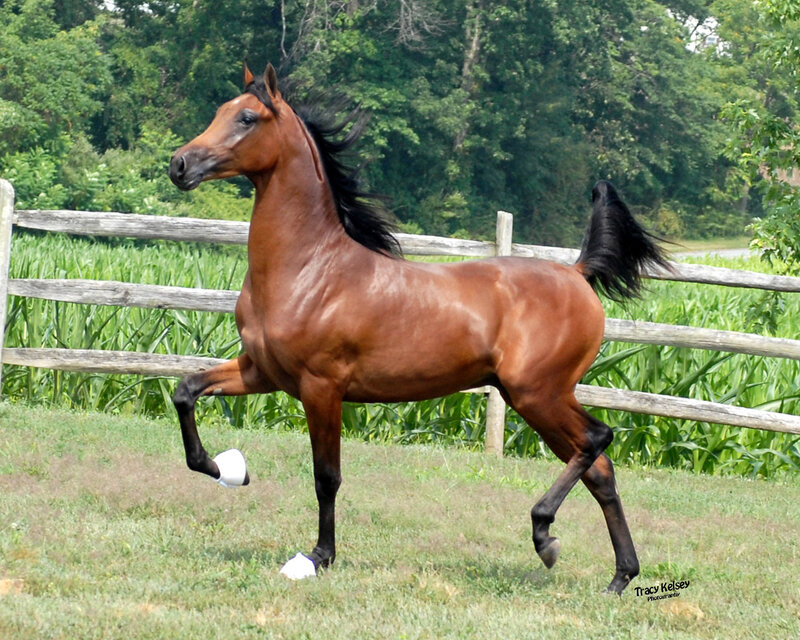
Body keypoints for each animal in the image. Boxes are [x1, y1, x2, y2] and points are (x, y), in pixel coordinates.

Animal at [168, 61, 668, 593]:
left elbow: (327, 477)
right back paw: (620, 576)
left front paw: (318, 557)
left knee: (598, 440)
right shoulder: (262, 371)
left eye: (246, 118)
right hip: (537, 398)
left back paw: (545, 535)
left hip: (539, 394)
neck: (309, 269)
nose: (180, 165)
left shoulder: (320, 387)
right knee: (600, 469)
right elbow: (185, 391)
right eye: (220, 110)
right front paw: (226, 469)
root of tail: (576, 273)